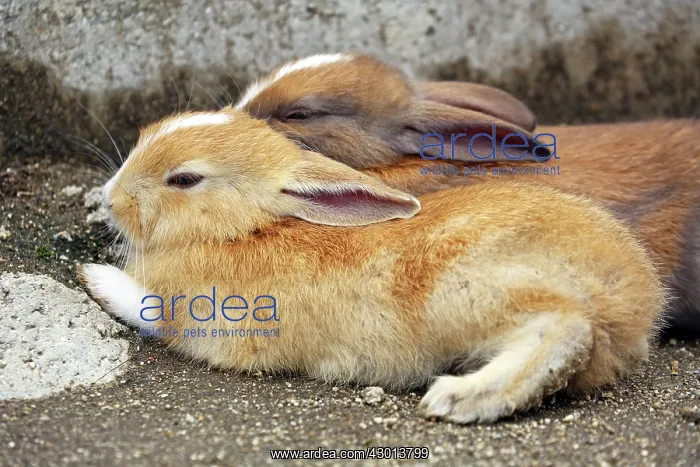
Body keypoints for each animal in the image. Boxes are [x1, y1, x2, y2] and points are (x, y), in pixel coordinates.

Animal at [79, 108, 666, 424]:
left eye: (184, 179)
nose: (110, 198)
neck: (245, 228)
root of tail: (633, 295)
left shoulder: (205, 316)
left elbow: (148, 308)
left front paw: (95, 277)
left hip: (467, 292)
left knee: (565, 328)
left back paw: (457, 399)